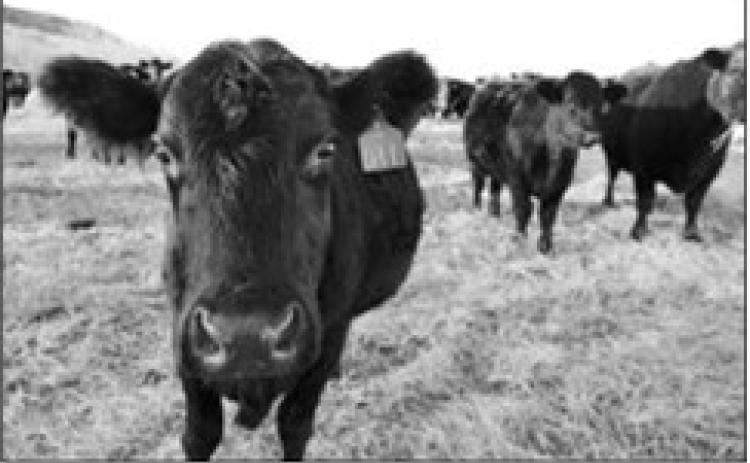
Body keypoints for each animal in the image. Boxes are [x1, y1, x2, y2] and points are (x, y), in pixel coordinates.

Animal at [39, 38, 437, 460]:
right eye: (164, 153)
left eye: (325, 149)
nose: (247, 335)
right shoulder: (183, 331)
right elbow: (199, 433)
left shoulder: (330, 333)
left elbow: (295, 426)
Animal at [476, 72, 627, 253]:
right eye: (570, 103)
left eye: (601, 106)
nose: (592, 136)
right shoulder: (516, 178)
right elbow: (523, 209)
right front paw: (519, 241)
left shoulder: (559, 185)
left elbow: (548, 215)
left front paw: (545, 248)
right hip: (475, 163)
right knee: (478, 185)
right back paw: (476, 208)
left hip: (497, 170)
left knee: (495, 189)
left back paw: (494, 214)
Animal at [625, 45, 745, 242]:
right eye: (736, 69)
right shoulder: (643, 167)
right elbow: (645, 201)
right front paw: (639, 231)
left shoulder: (711, 171)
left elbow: (694, 202)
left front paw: (692, 232)